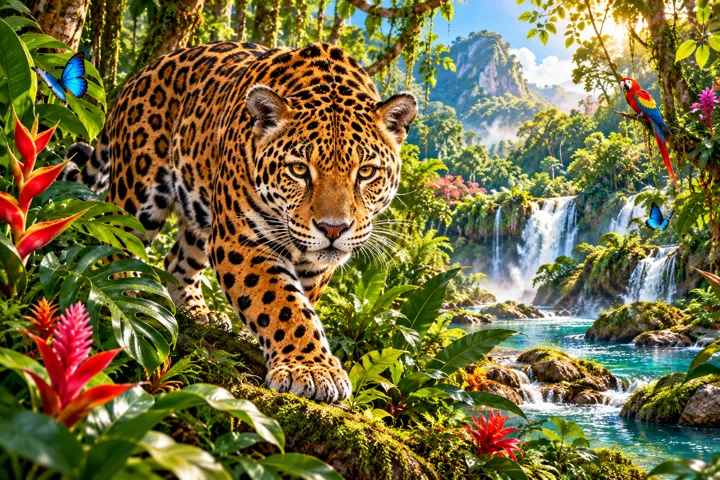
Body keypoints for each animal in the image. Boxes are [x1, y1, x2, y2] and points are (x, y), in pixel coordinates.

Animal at [61, 41, 418, 402]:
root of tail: (140, 75)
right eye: (299, 169)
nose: (334, 229)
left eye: (366, 172)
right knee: (115, 241)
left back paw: (198, 312)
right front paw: (311, 368)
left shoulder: (315, 265)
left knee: (177, 260)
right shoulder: (240, 240)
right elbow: (282, 302)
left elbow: (299, 302)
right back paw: (131, 293)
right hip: (137, 194)